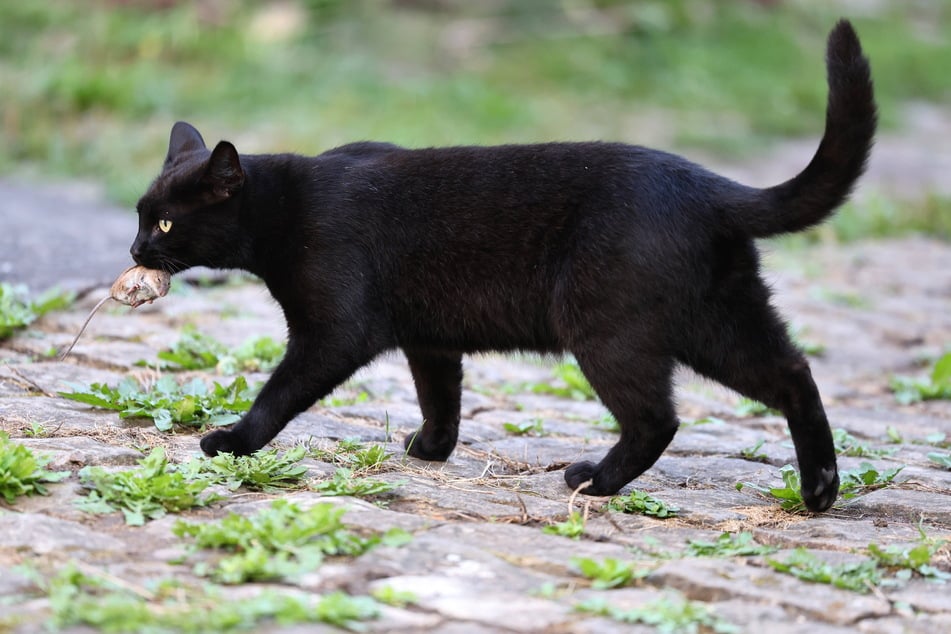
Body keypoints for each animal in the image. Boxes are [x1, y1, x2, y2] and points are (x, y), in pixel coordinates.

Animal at [132, 22, 876, 512]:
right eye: (139, 217)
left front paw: (233, 441)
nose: (136, 251)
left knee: (656, 418)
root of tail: (709, 187)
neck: (287, 207)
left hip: (609, 331)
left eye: (164, 222)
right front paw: (431, 449)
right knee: (792, 373)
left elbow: (279, 392)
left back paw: (594, 481)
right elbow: (441, 397)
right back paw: (819, 490)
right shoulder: (429, 339)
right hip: (719, 318)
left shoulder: (333, 333)